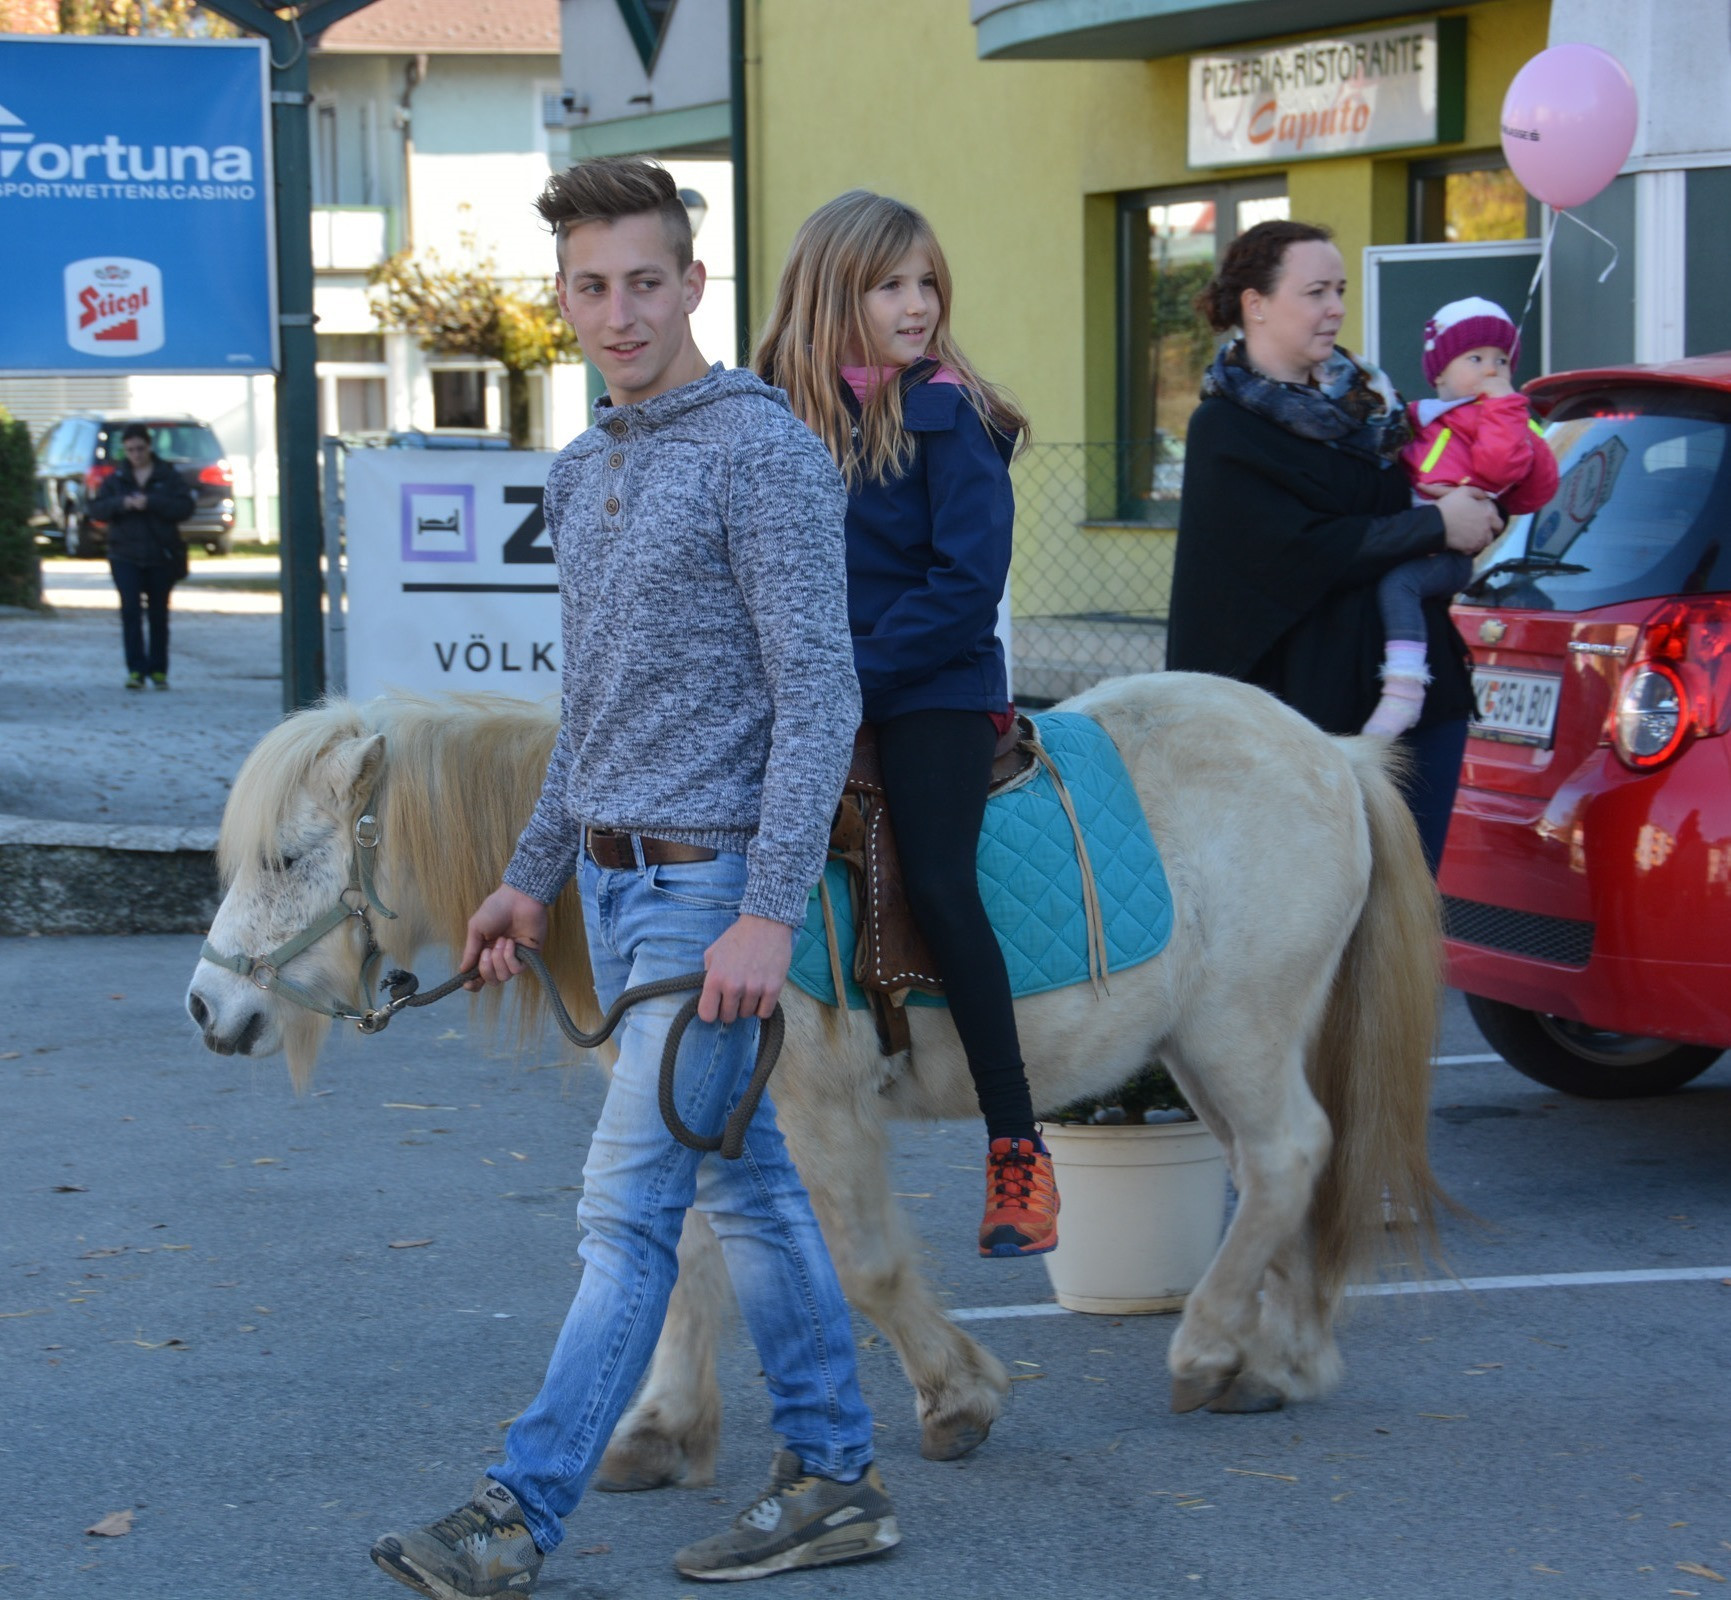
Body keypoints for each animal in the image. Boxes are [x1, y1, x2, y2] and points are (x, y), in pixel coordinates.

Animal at [186, 675, 1447, 1489]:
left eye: (288, 856)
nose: (207, 1007)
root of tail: (1333, 752)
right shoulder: (690, 1096)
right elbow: (686, 1258)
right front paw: (658, 1427)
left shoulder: (814, 1108)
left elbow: (866, 1262)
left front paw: (958, 1395)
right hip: (1211, 1041)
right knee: (1280, 1167)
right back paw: (1280, 1353)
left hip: (1239, 1028)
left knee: (1289, 1152)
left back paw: (1212, 1347)